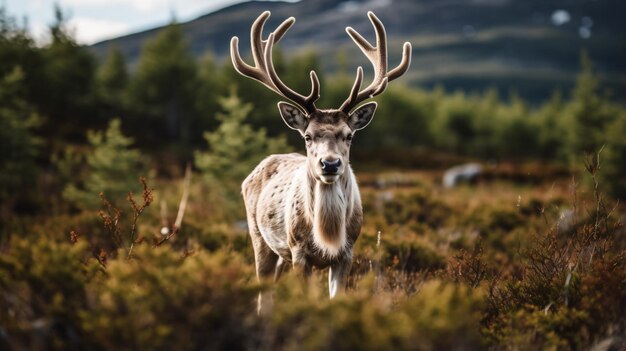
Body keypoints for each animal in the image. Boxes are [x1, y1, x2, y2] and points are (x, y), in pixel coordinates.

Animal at [229, 10, 410, 314]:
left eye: (349, 135)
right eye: (308, 136)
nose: (330, 164)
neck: (328, 233)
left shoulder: (347, 252)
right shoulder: (299, 252)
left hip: (281, 254)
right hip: (260, 238)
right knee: (263, 294)